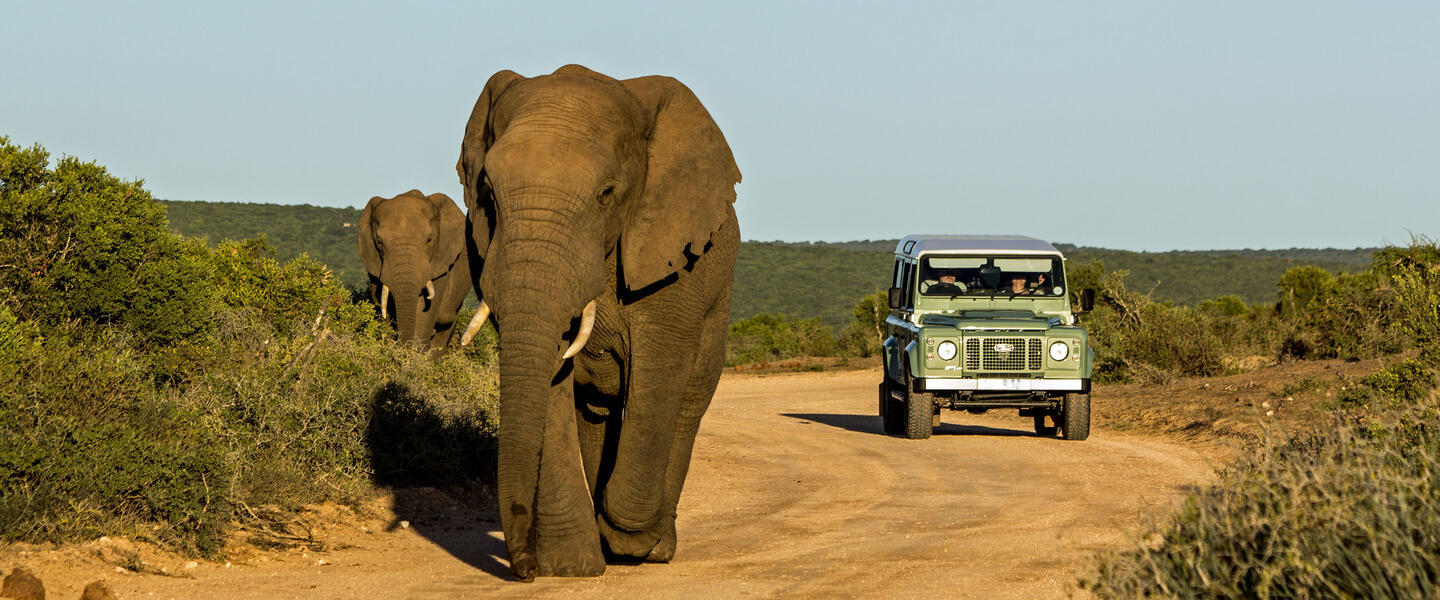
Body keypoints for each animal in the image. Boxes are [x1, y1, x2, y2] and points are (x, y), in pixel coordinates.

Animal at [452, 66, 743, 581]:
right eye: (488, 194)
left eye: (606, 194)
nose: (522, 569)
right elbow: (551, 384)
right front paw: (571, 566)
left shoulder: (671, 263)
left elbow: (659, 374)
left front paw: (628, 540)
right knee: (597, 413)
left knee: (687, 400)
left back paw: (653, 547)